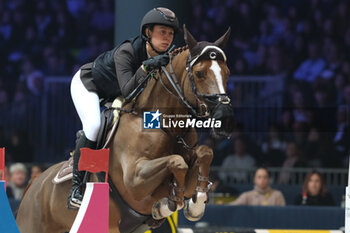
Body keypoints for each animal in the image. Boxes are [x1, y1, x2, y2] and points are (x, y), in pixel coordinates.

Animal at [16, 25, 235, 233]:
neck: (167, 128)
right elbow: (177, 162)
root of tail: (33, 185)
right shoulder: (134, 180)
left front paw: (194, 204)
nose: (225, 118)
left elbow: (204, 153)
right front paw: (169, 204)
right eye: (199, 73)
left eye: (227, 73)